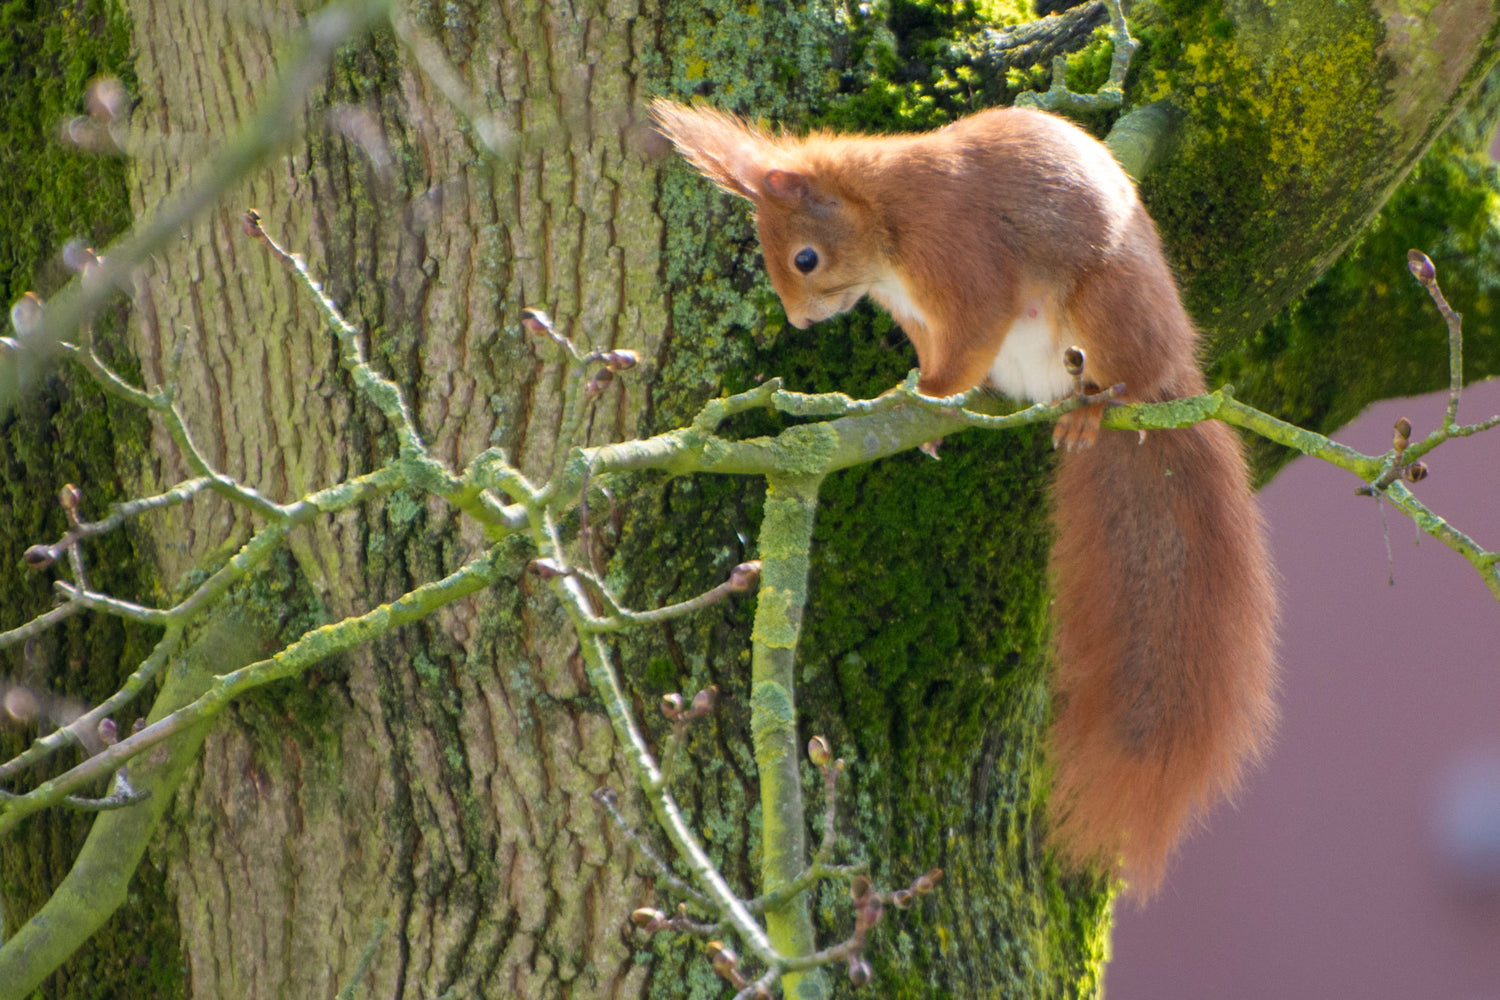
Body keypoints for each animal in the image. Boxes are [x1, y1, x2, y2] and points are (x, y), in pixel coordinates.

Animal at [654, 97, 1278, 893]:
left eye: (804, 258)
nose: (797, 322)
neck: (887, 222)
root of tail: (1174, 382)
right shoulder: (918, 315)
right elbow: (937, 354)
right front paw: (918, 401)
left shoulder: (962, 256)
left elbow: (970, 331)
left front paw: (926, 394)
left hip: (1108, 308)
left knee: (1123, 374)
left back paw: (1095, 407)